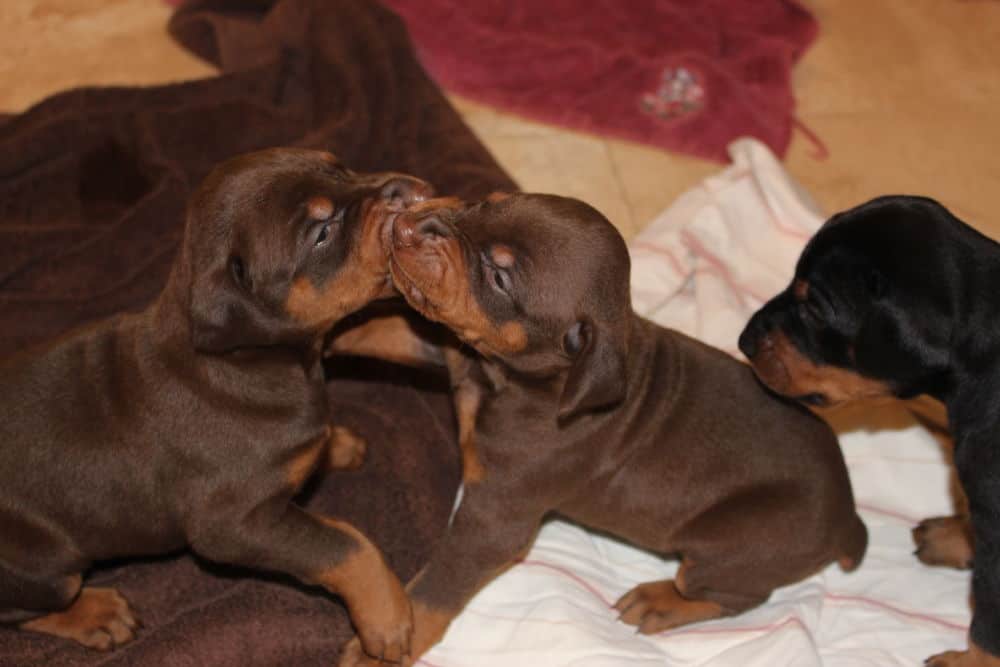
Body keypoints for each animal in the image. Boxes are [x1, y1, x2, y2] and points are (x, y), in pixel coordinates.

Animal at [0, 147, 432, 664]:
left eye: (340, 167)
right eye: (322, 233)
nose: (404, 190)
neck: (251, 361)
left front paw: (337, 443)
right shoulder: (232, 525)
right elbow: (346, 543)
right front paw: (388, 618)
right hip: (45, 565)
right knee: (22, 610)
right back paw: (98, 614)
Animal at [338, 193, 868, 667]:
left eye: (499, 276)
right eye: (485, 204)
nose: (406, 224)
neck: (511, 380)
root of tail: (848, 517)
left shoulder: (496, 517)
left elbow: (440, 585)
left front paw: (387, 644)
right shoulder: (454, 351)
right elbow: (385, 330)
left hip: (734, 542)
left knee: (732, 594)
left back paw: (660, 601)